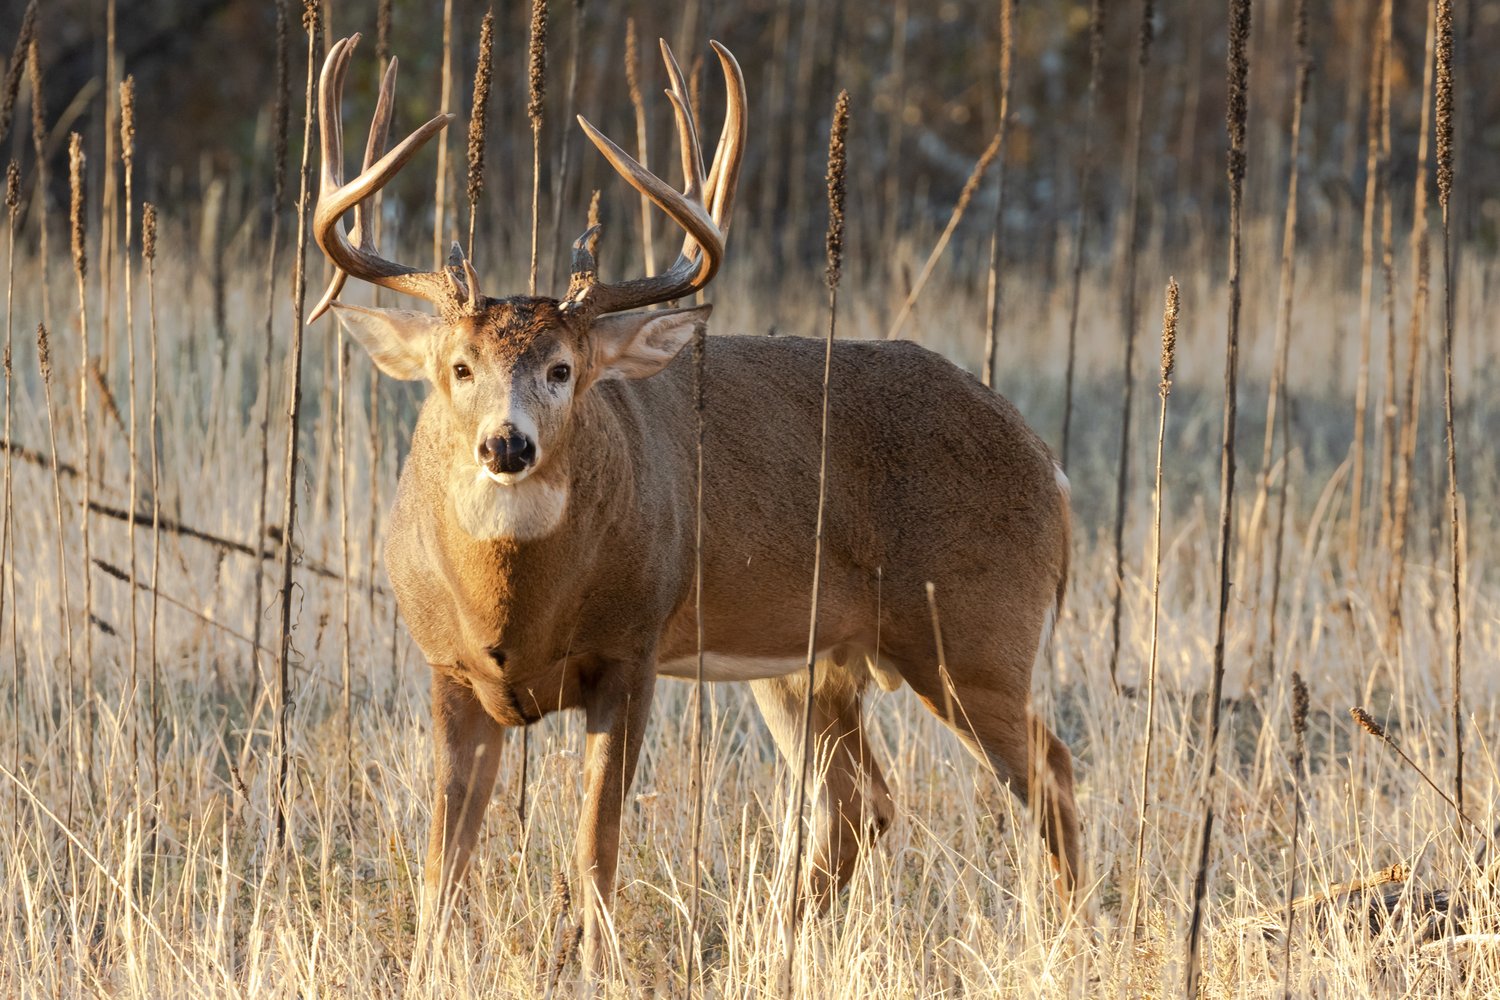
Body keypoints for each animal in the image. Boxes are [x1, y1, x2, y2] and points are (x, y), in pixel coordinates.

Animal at [307, 29, 1080, 977]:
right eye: (458, 366)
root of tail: (1048, 466)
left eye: (563, 369)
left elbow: (593, 850)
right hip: (813, 663)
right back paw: (772, 950)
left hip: (975, 635)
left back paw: (1068, 941)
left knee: (1051, 777)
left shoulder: (630, 652)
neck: (512, 612)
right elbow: (441, 862)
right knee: (861, 802)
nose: (506, 445)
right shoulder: (449, 669)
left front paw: (592, 972)